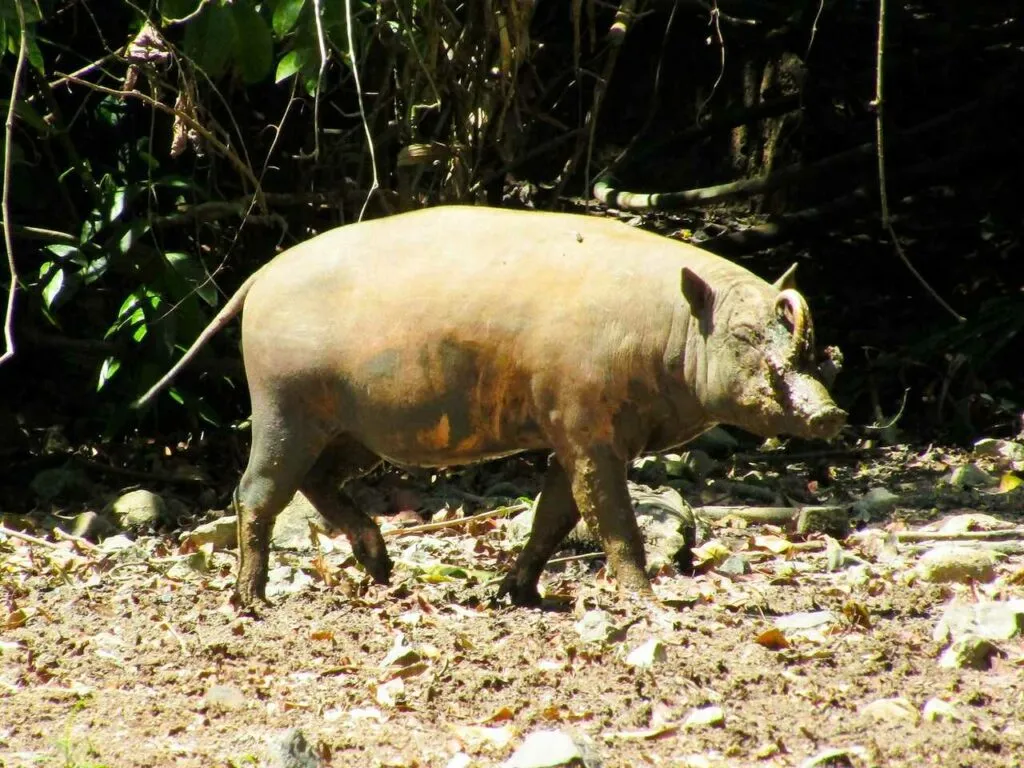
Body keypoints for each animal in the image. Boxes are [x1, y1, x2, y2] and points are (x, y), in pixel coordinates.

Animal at [132, 204, 843, 606]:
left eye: (802, 341)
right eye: (744, 336)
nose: (830, 412)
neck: (667, 330)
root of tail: (260, 276)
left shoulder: (567, 433)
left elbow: (555, 514)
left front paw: (518, 596)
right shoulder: (587, 425)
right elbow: (609, 515)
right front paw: (649, 603)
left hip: (349, 430)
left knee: (317, 482)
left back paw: (383, 573)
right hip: (286, 403)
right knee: (256, 492)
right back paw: (251, 603)